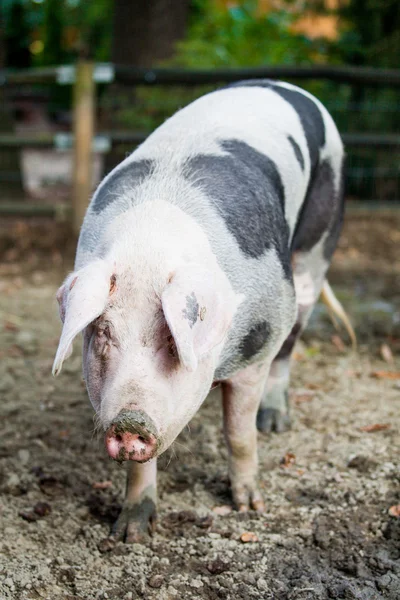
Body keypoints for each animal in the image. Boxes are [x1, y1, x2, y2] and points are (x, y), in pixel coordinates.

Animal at [52, 81, 354, 544]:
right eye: (103, 332)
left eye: (172, 340)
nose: (130, 422)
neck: (149, 250)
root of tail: (283, 85)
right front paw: (130, 534)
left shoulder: (258, 342)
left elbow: (239, 432)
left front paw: (250, 506)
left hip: (318, 243)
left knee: (292, 340)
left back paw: (275, 423)